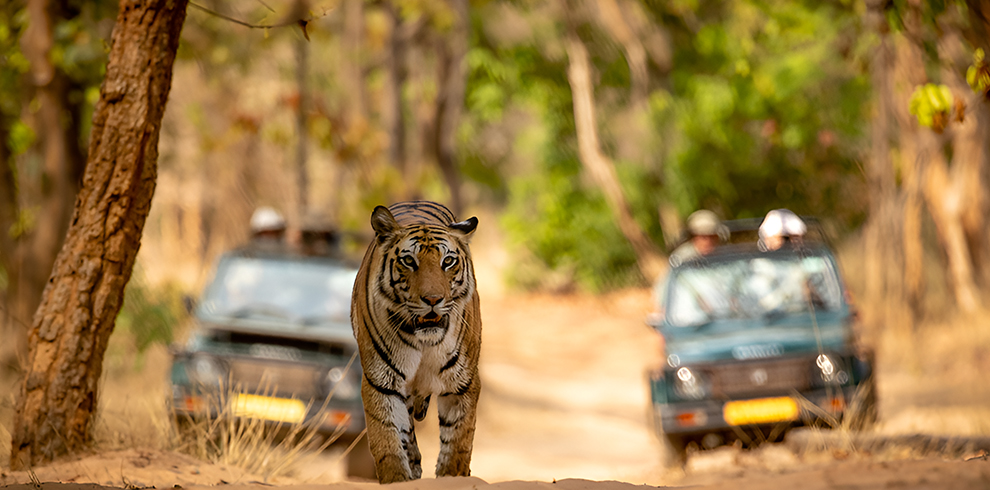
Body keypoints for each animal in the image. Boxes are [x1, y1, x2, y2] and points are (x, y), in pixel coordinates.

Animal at [352, 199, 484, 482]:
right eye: (409, 261)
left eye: (448, 261)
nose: (433, 299)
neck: (425, 342)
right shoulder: (381, 382)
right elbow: (387, 440)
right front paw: (397, 478)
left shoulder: (462, 384)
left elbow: (458, 442)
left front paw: (452, 477)